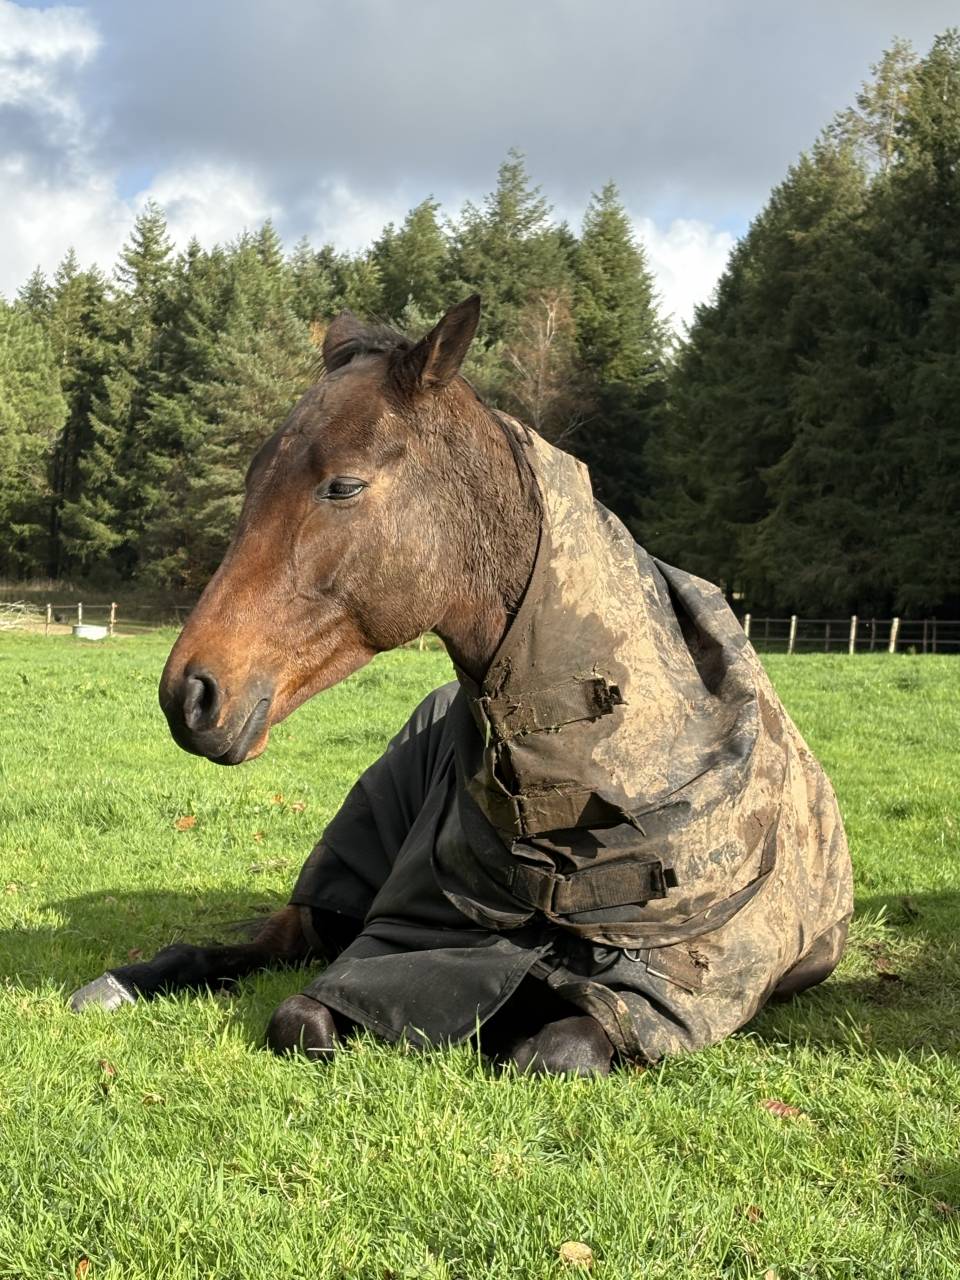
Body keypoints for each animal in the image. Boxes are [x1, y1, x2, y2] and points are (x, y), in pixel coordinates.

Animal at [70, 296, 853, 1077]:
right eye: (253, 476)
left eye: (344, 485)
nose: (190, 694)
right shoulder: (396, 943)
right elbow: (301, 1019)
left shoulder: (659, 996)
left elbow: (554, 1050)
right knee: (260, 942)